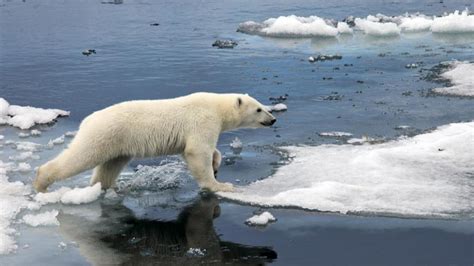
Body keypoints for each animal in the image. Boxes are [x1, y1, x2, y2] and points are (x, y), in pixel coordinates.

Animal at [33, 92, 276, 192]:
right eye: (259, 109)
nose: (273, 119)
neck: (216, 107)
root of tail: (88, 120)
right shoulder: (202, 120)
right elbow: (197, 151)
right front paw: (220, 185)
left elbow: (196, 150)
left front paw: (216, 164)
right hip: (103, 134)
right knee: (81, 156)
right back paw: (41, 182)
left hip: (119, 144)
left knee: (109, 167)